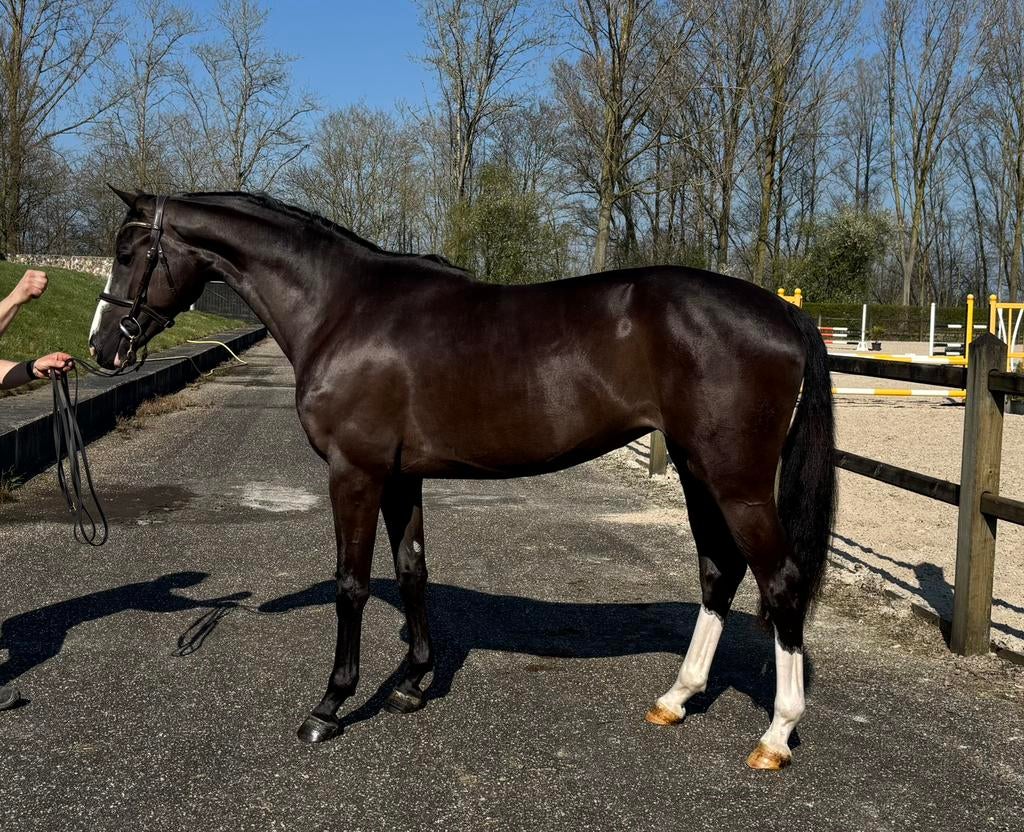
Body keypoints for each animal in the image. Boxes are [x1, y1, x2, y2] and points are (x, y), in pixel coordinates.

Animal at [90, 187, 835, 770]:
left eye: (129, 251)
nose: (102, 348)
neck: (343, 308)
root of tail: (783, 310)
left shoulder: (355, 473)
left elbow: (351, 584)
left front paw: (330, 705)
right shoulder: (400, 478)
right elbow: (412, 569)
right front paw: (414, 683)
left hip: (736, 481)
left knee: (781, 582)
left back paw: (775, 735)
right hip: (695, 469)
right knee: (718, 572)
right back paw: (676, 699)